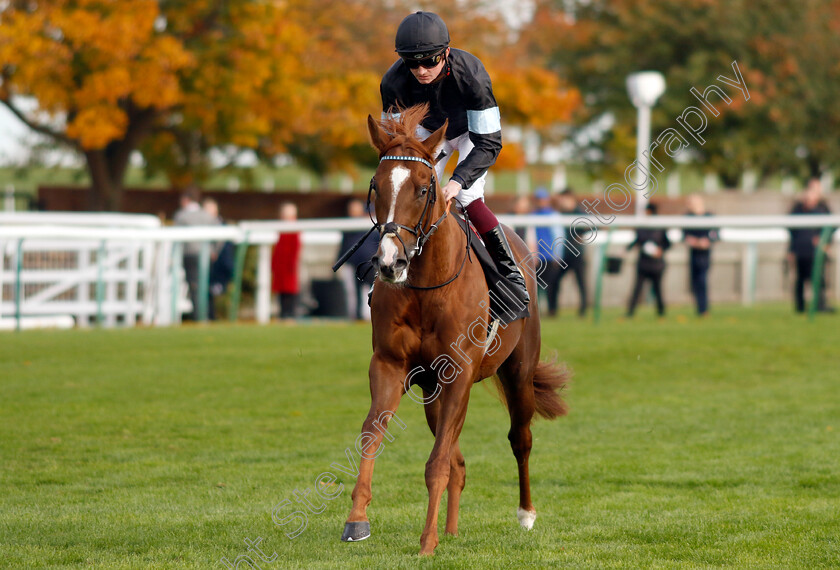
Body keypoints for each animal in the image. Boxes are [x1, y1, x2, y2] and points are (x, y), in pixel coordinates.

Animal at [342, 104, 572, 552]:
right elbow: (373, 435)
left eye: (423, 188)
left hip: (517, 372)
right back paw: (451, 530)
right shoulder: (390, 364)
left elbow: (437, 462)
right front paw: (357, 520)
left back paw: (525, 514)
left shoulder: (460, 371)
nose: (390, 262)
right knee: (459, 461)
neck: (426, 286)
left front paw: (426, 541)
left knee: (520, 439)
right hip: (432, 389)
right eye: (376, 187)